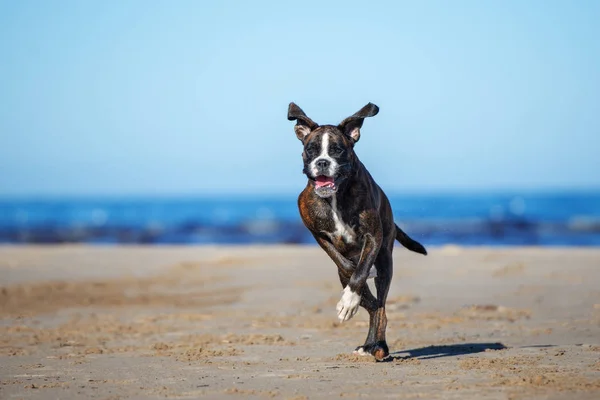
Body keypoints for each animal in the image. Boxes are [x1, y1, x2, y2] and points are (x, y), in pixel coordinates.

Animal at [288, 101, 424, 360]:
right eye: (311, 149)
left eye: (337, 150)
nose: (322, 162)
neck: (335, 197)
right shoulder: (319, 236)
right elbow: (346, 265)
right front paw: (353, 297)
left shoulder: (374, 237)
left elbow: (361, 274)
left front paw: (350, 299)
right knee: (373, 305)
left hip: (386, 261)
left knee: (381, 307)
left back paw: (378, 346)